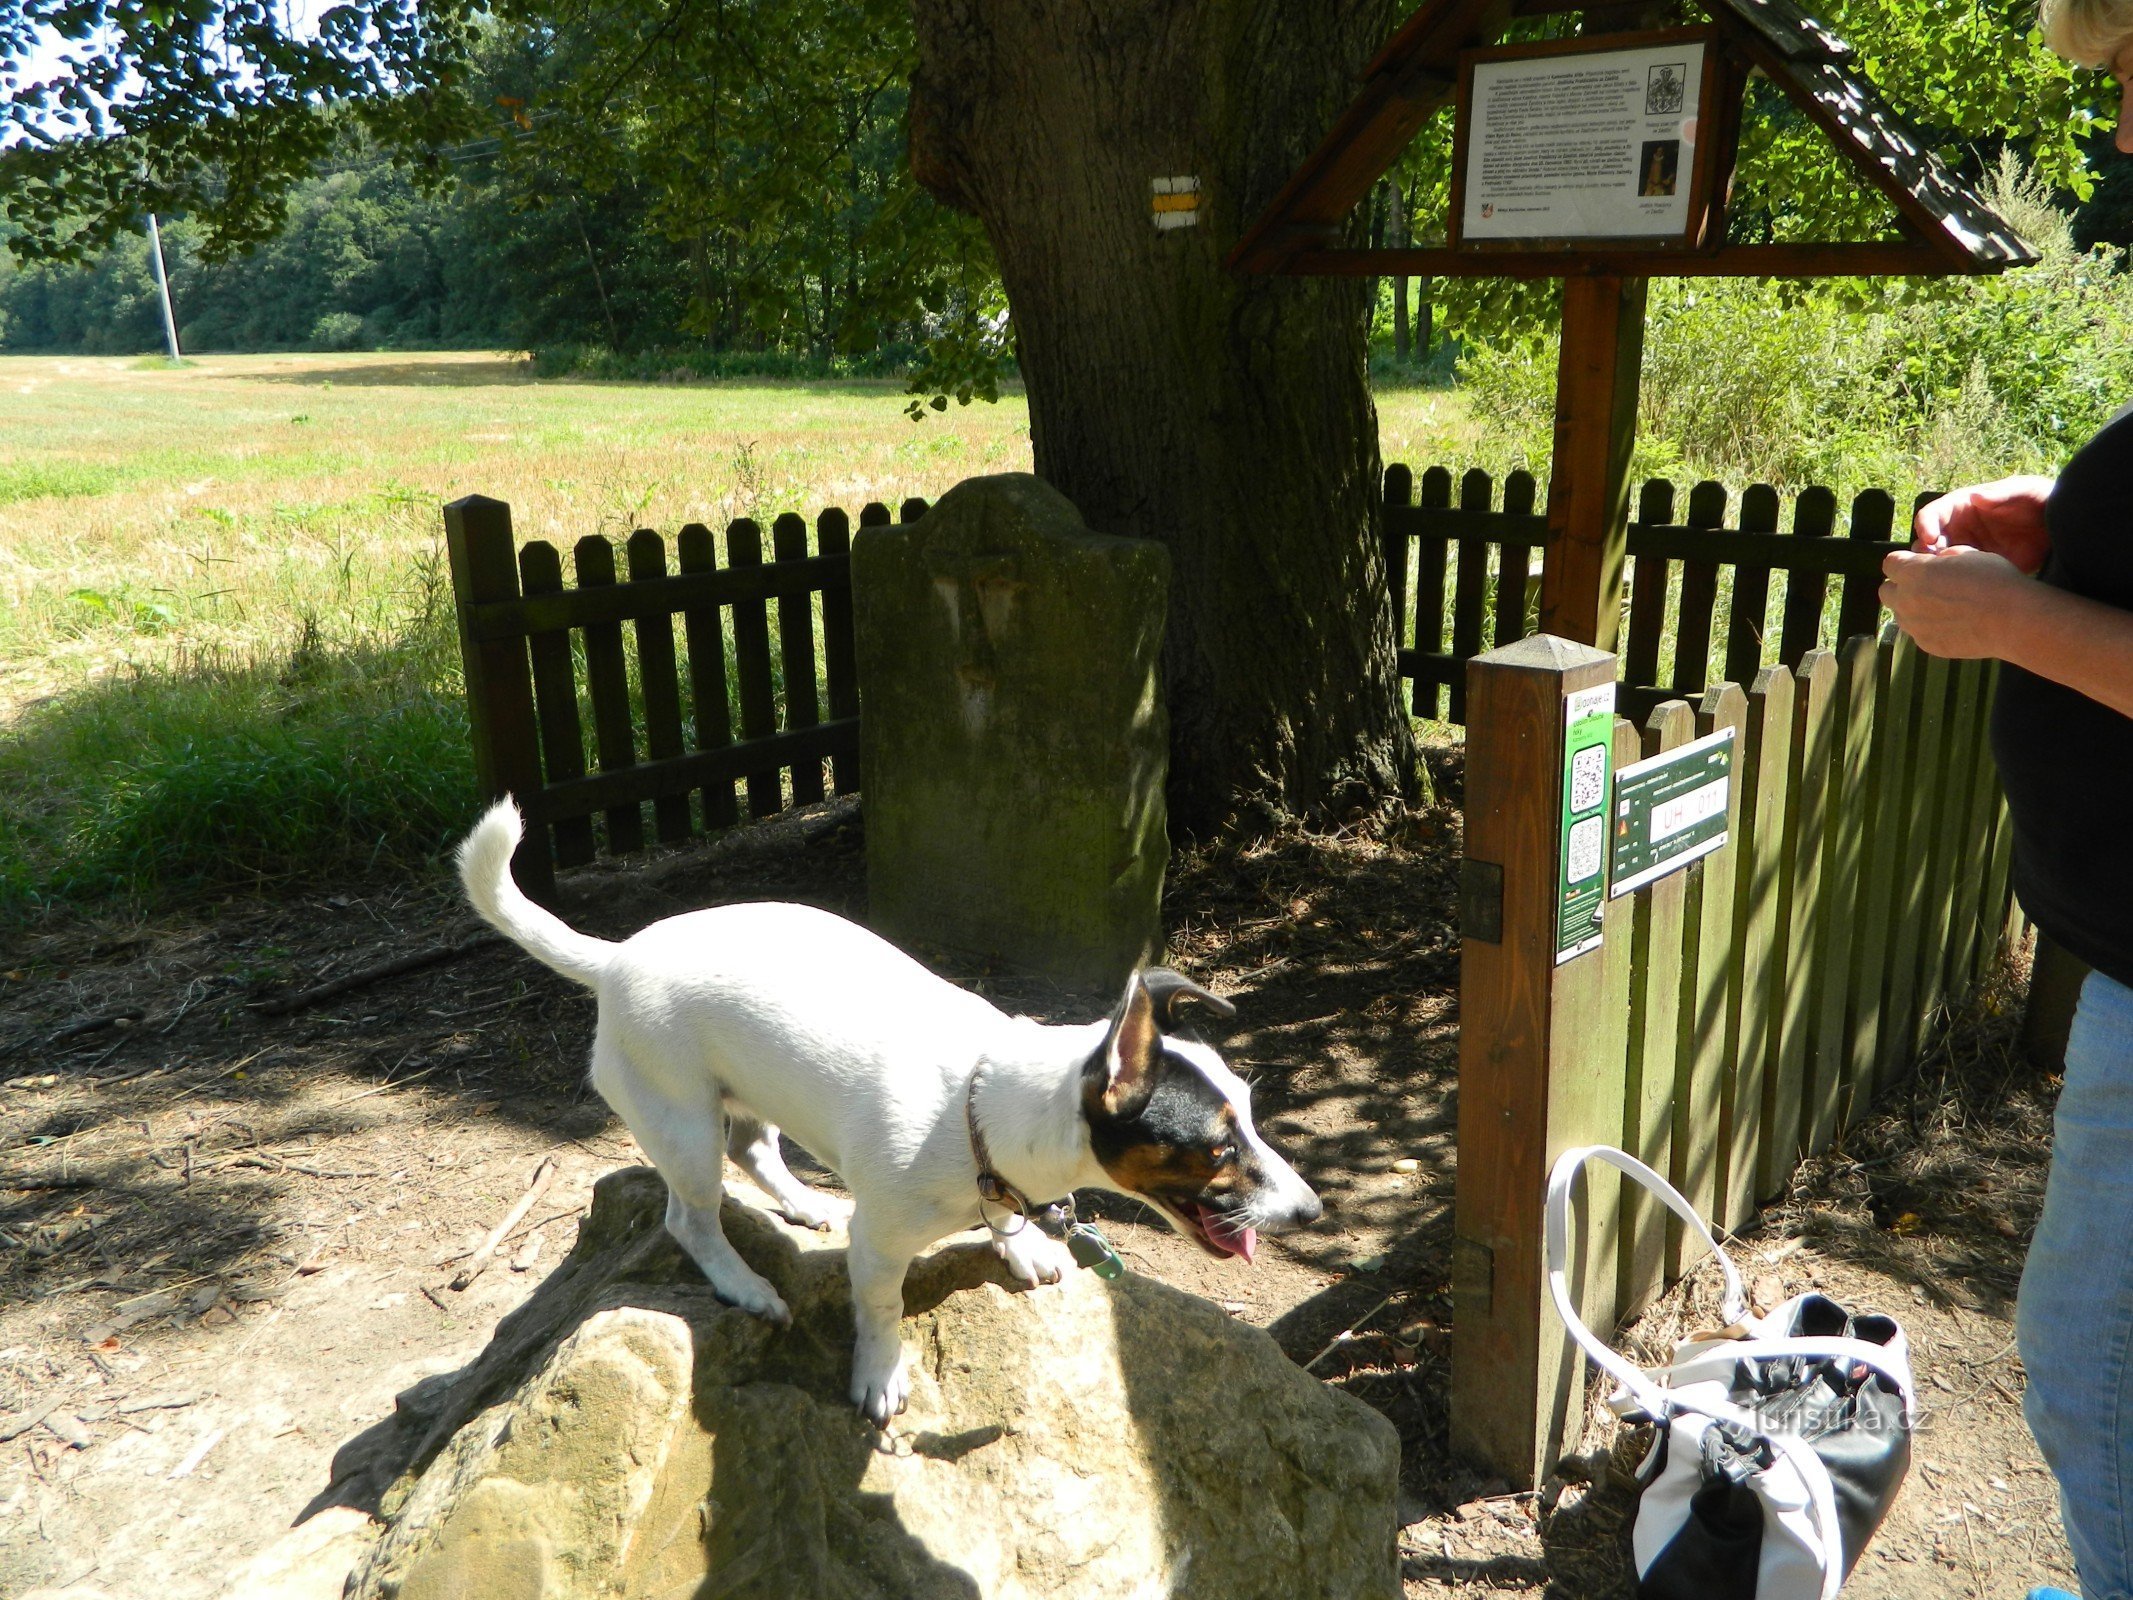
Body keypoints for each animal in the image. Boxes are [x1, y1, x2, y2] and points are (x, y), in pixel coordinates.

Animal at [456, 802, 1313, 1425]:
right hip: (681, 1119)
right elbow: (880, 1306)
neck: (983, 1104)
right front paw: (879, 1374)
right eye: (1216, 1147)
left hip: (752, 1093)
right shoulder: (881, 1245)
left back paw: (804, 1204)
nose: (1312, 1210)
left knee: (754, 1149)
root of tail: (614, 958)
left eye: (1252, 1117)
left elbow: (1003, 1222)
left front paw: (1022, 1245)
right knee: (690, 1218)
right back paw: (744, 1285)